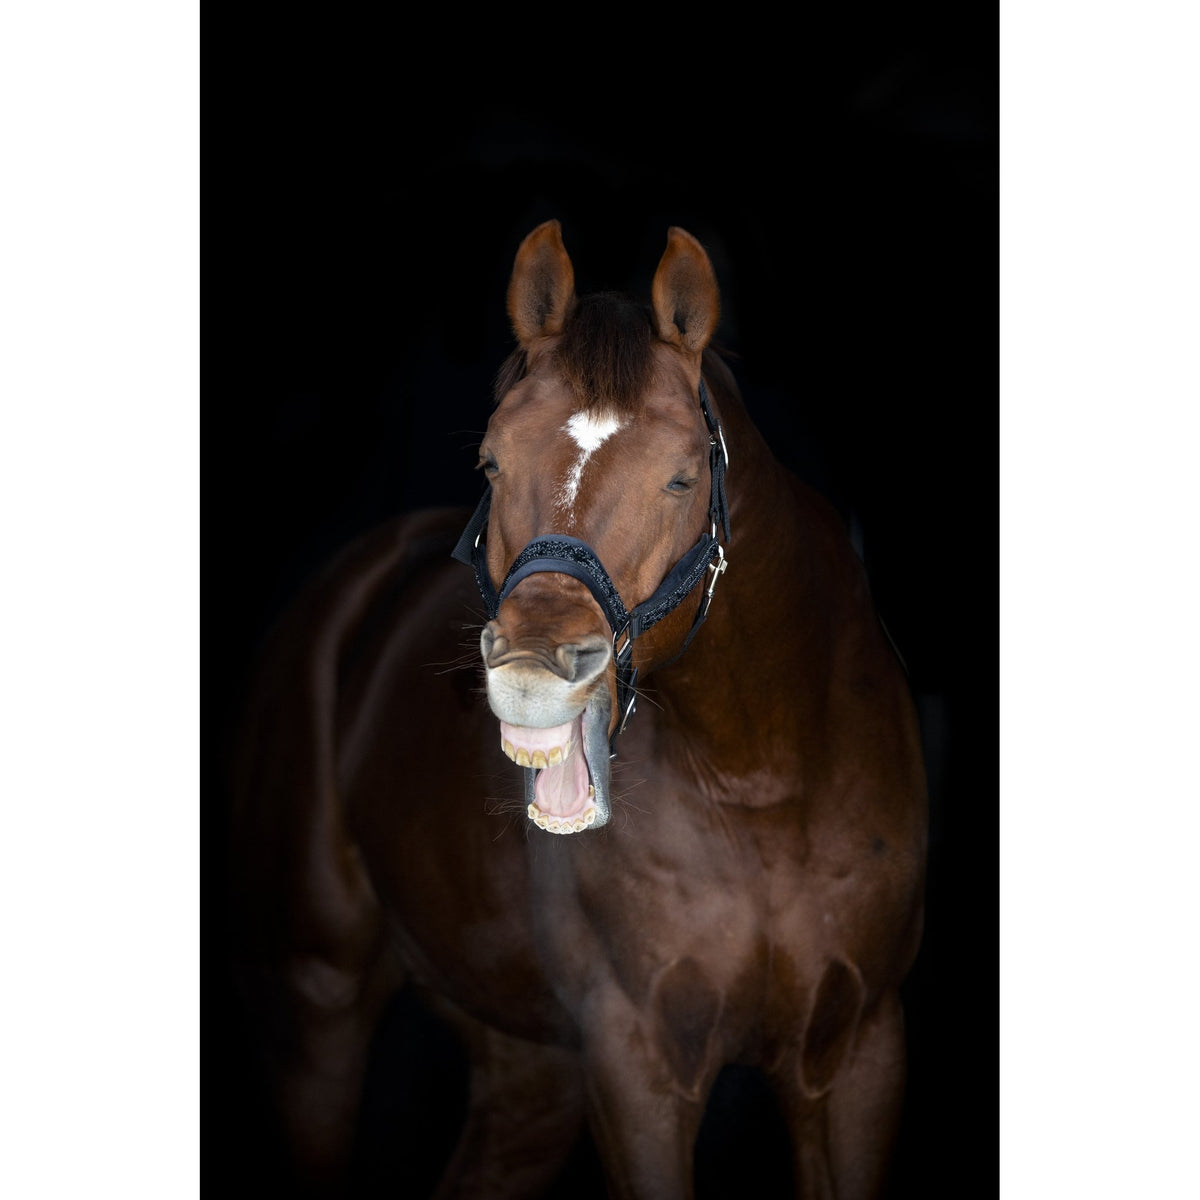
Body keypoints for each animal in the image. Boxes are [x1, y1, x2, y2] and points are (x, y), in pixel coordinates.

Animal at [229, 221, 928, 1198]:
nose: (533, 669)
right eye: (491, 461)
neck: (764, 780)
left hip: (526, 1068)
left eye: (681, 478)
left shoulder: (860, 1052)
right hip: (313, 1007)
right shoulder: (635, 1066)